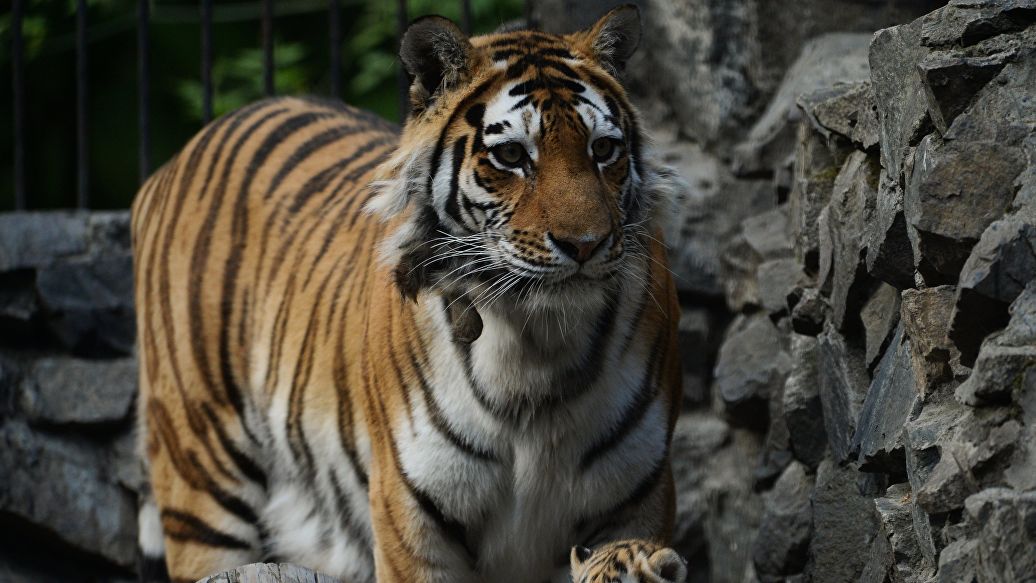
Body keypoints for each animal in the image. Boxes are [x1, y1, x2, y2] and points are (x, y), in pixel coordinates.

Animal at [129, 4, 683, 583]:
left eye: (604, 149)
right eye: (511, 155)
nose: (585, 245)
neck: (535, 349)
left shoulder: (637, 499)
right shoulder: (412, 518)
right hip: (202, 484)